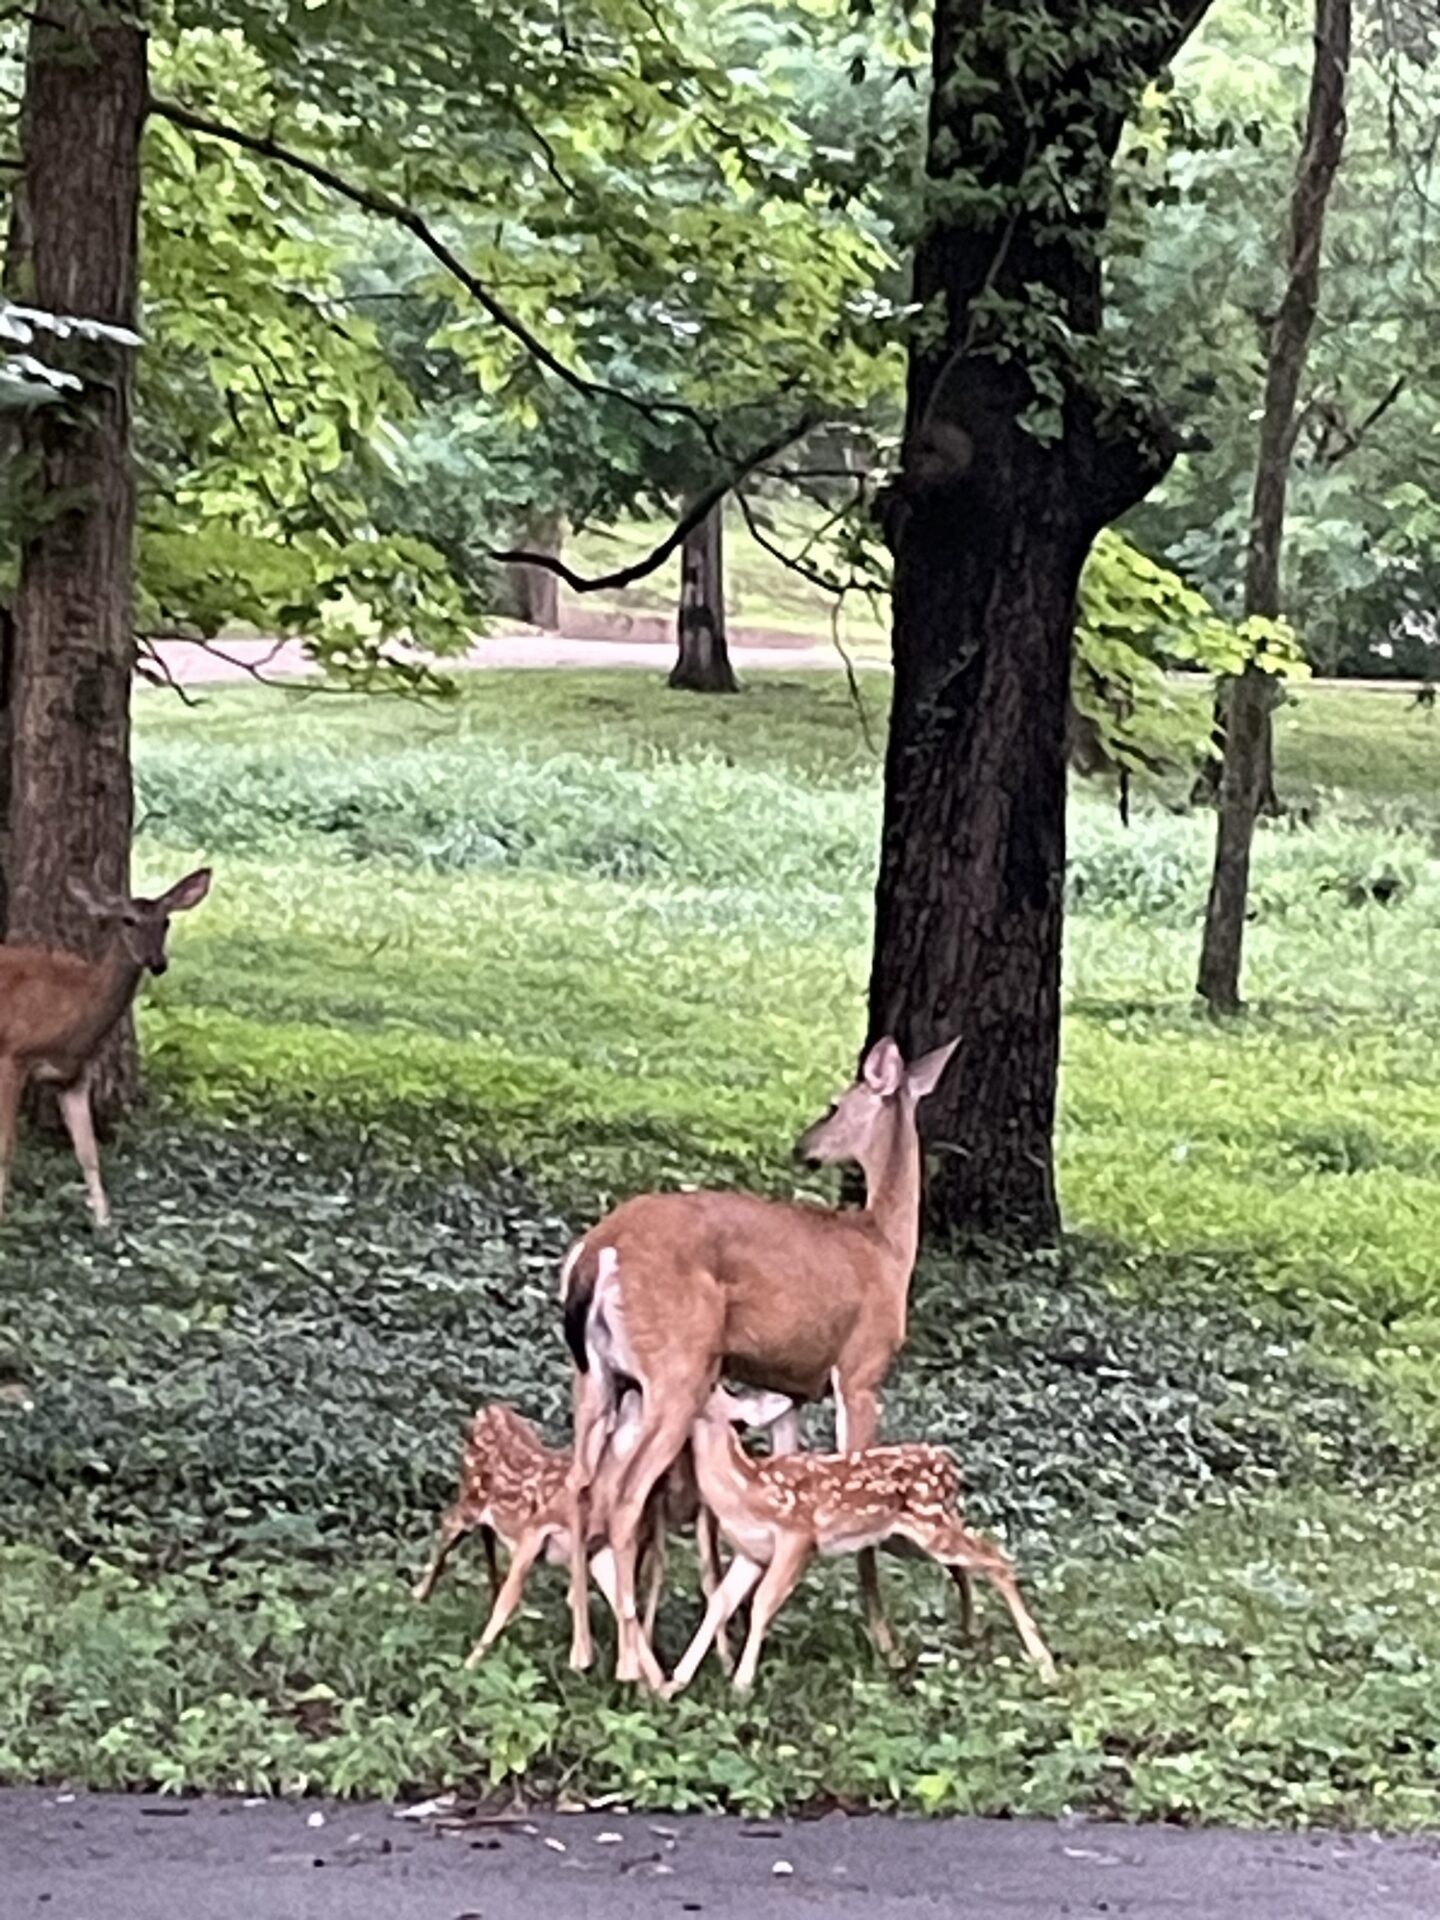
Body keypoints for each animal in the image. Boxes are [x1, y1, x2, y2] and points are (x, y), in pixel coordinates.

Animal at [0, 866, 212, 1228]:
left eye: (166, 921)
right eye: (128, 920)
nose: (157, 962)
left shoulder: (74, 1074)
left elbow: (88, 1151)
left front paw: (104, 1221)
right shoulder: (13, 1053)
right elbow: (6, 1146)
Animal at [414, 1389, 793, 1680]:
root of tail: (485, 1410)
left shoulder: (595, 1550)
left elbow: (625, 1608)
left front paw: (655, 1686)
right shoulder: (537, 1531)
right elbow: (509, 1602)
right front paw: (470, 1665)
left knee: (481, 1537)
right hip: (470, 1499)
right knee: (449, 1523)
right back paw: (420, 1594)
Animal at [560, 1032, 959, 1686]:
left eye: (831, 1105)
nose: (803, 1147)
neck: (886, 1247)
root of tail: (599, 1250)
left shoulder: (789, 1392)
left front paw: (744, 1632)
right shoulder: (860, 1371)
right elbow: (864, 1510)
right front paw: (885, 1642)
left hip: (596, 1377)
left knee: (579, 1486)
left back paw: (586, 1651)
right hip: (675, 1370)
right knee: (622, 1498)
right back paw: (640, 1670)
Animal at [663, 1385, 1057, 1694]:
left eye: (708, 1391)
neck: (746, 1489)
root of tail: (949, 1463)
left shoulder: (799, 1536)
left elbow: (762, 1602)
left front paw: (742, 1685)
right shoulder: (752, 1553)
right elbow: (719, 1602)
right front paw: (674, 1683)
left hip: (931, 1525)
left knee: (996, 1556)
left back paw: (1043, 1663)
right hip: (910, 1536)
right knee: (965, 1565)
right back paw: (969, 1631)